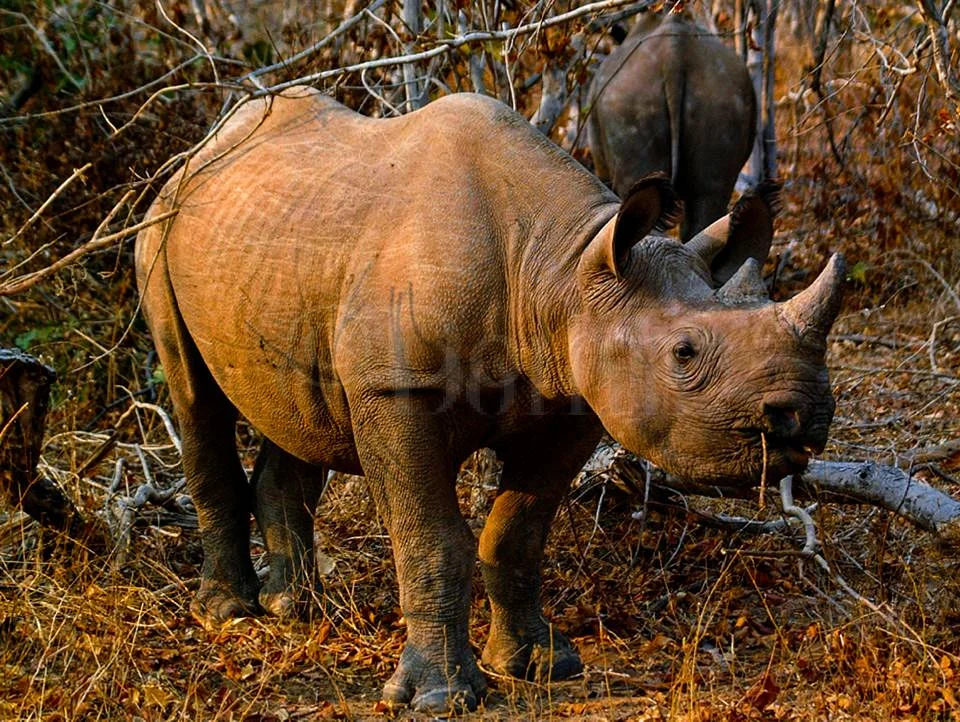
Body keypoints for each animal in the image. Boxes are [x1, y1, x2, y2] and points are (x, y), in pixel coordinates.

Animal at [136, 87, 843, 714]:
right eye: (685, 353)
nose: (805, 415)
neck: (563, 270)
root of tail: (199, 153)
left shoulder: (570, 401)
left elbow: (517, 535)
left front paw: (543, 665)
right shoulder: (397, 387)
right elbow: (432, 540)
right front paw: (440, 697)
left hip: (278, 247)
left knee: (301, 417)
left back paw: (296, 609)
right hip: (160, 231)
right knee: (195, 399)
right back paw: (228, 612)